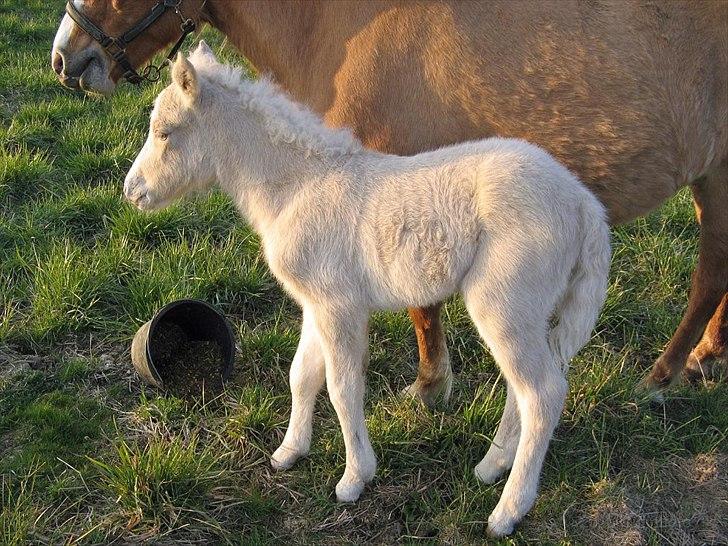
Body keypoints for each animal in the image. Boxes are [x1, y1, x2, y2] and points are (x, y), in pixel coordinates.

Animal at [54, 0, 728, 396]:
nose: (66, 58)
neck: (348, 27)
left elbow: (420, 306)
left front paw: (430, 387)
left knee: (711, 277)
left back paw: (666, 373)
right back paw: (705, 358)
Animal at [123, 43, 608, 536]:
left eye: (164, 132)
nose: (131, 191)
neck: (295, 188)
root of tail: (583, 205)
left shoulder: (339, 307)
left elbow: (342, 388)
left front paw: (354, 478)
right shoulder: (316, 303)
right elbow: (302, 374)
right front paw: (289, 452)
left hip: (503, 301)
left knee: (543, 394)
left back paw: (507, 512)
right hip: (525, 309)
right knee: (522, 388)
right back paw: (490, 467)